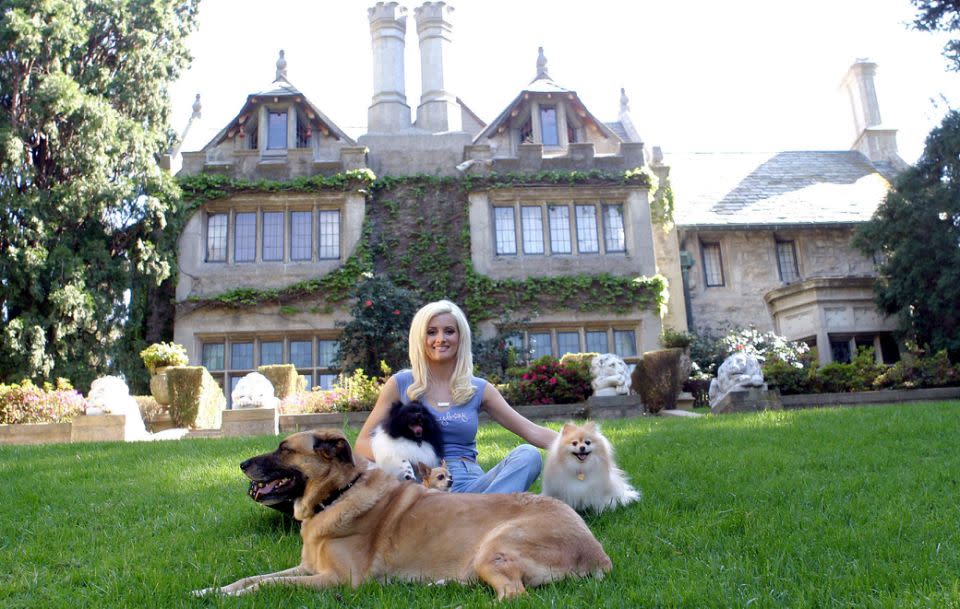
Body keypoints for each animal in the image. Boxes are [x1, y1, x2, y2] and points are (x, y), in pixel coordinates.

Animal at [198, 428, 612, 600]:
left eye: (284, 449)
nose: (241, 465)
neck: (337, 495)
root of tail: (598, 553)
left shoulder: (336, 580)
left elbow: (266, 585)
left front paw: (230, 596)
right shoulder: (306, 569)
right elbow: (253, 577)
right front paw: (212, 589)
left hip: (496, 546)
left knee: (513, 595)